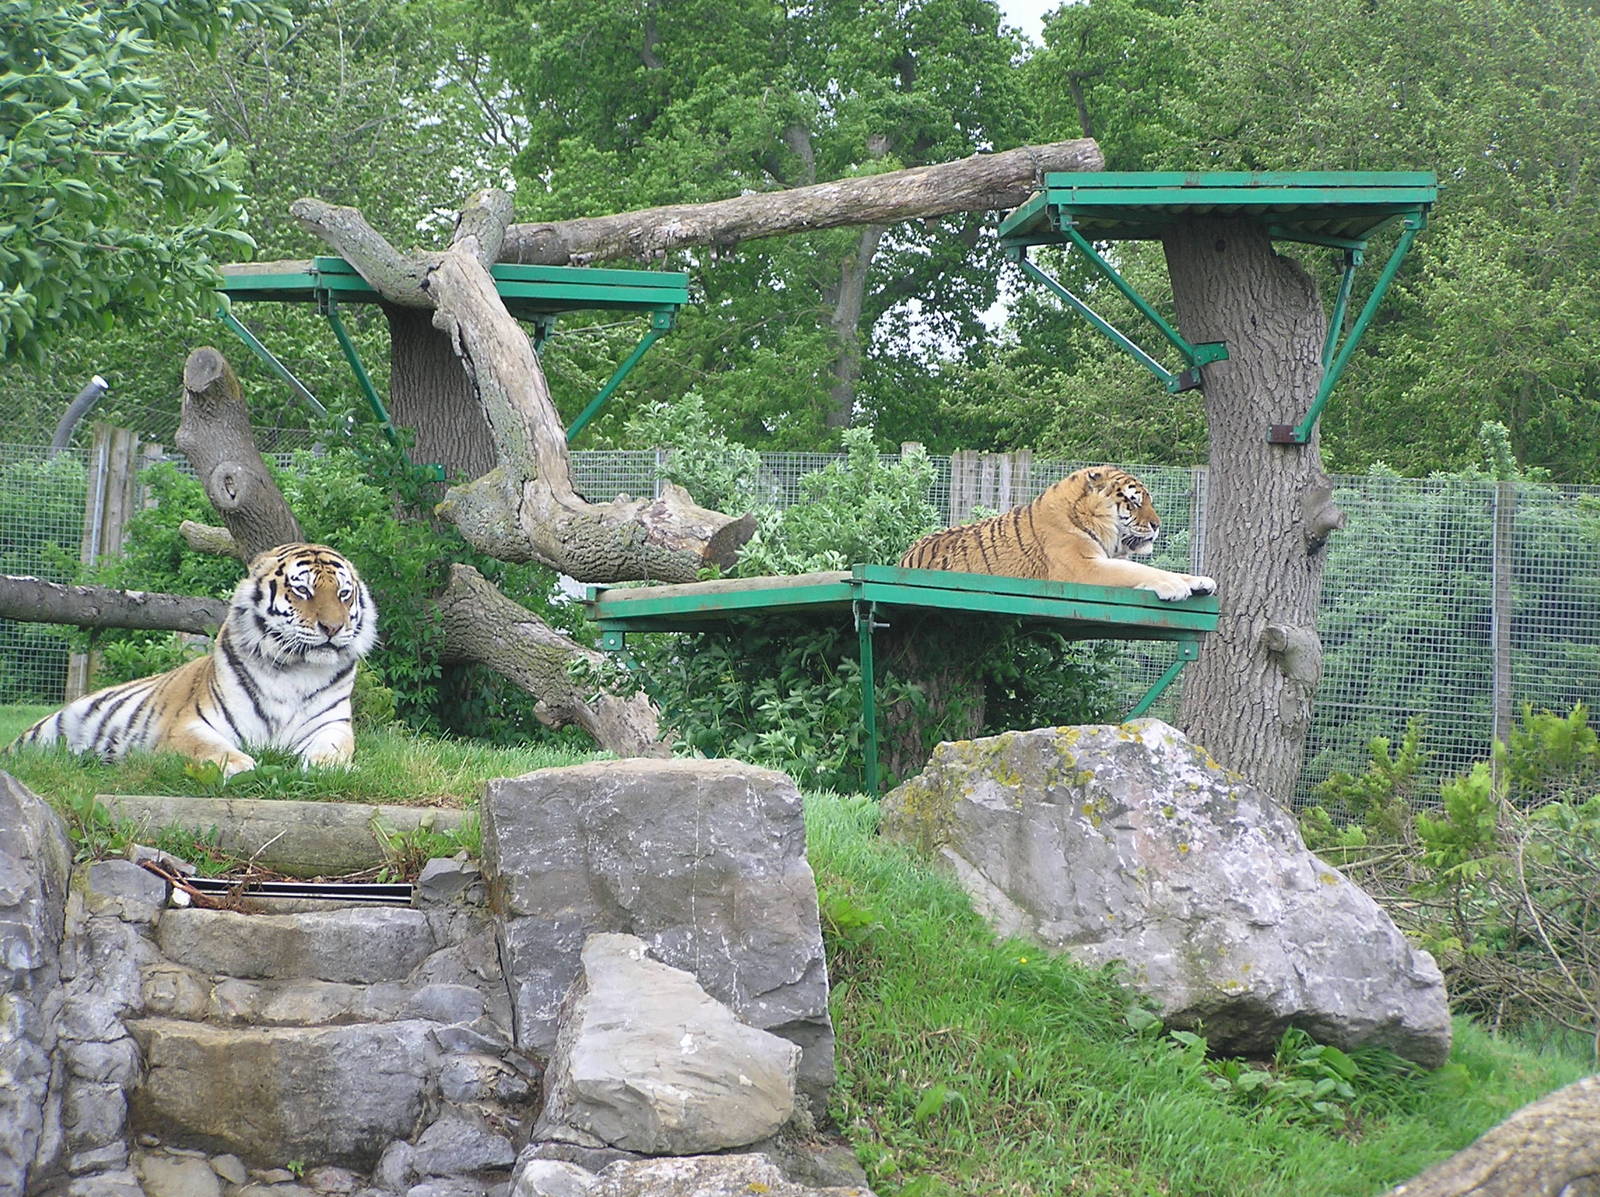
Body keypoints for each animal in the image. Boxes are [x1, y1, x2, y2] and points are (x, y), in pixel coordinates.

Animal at [8, 543, 377, 778]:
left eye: (344, 594)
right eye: (303, 591)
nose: (333, 627)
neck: (295, 668)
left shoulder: (332, 725)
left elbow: (332, 749)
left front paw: (330, 767)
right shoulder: (190, 725)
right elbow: (211, 748)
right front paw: (240, 766)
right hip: (46, 731)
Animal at [898, 465, 1217, 601]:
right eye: (1134, 500)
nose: (1157, 524)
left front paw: (1201, 581)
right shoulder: (1084, 569)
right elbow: (1138, 570)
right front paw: (1174, 587)